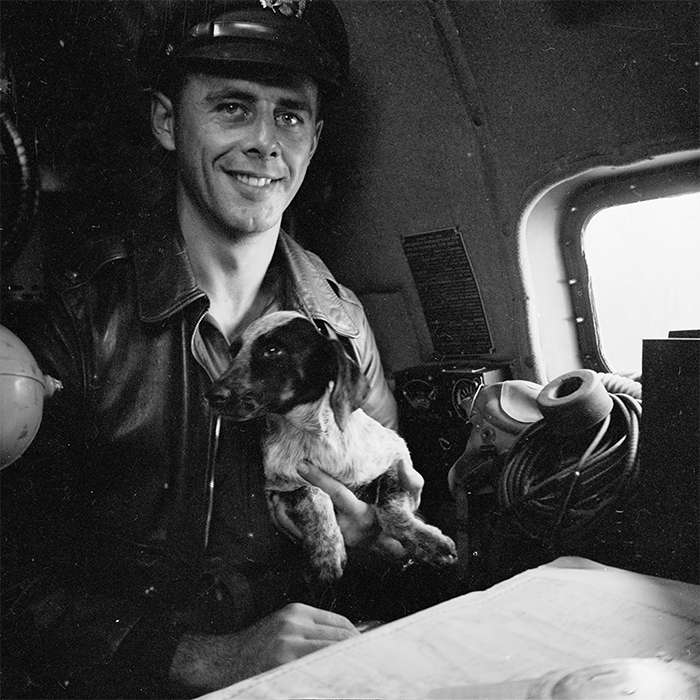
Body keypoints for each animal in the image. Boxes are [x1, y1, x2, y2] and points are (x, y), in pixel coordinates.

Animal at [206, 310, 460, 580]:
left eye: (273, 350)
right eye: (234, 352)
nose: (212, 396)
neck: (313, 434)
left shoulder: (396, 457)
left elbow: (390, 507)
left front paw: (428, 543)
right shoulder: (283, 486)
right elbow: (313, 498)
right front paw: (326, 551)